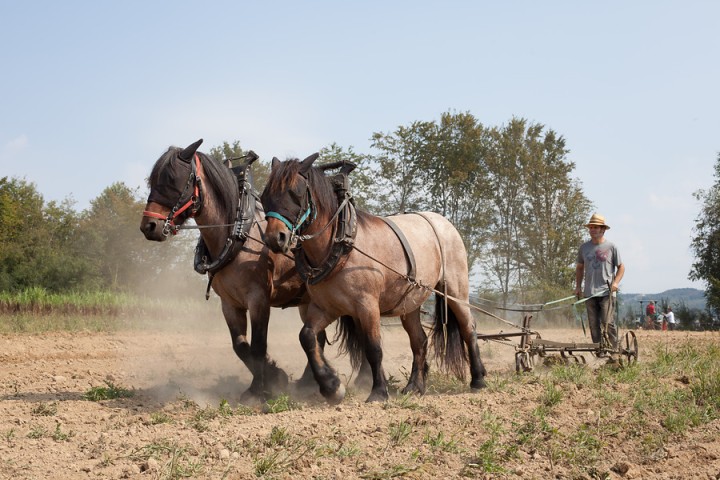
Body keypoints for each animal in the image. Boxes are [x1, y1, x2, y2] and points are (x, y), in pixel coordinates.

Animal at [139, 141, 366, 404]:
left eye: (173, 180)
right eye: (153, 181)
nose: (149, 226)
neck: (240, 233)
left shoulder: (258, 299)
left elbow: (258, 346)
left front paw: (259, 390)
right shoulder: (229, 304)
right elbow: (240, 346)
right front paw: (276, 376)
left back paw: (361, 379)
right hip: (308, 301)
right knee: (317, 337)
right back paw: (309, 382)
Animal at [260, 153, 490, 402]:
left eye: (296, 192)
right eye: (265, 196)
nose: (275, 238)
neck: (341, 245)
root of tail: (443, 222)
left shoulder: (367, 305)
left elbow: (373, 347)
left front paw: (378, 392)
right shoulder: (326, 307)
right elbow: (308, 337)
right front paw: (331, 386)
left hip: (456, 290)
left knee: (468, 328)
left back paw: (478, 380)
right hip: (409, 303)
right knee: (419, 340)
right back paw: (414, 386)